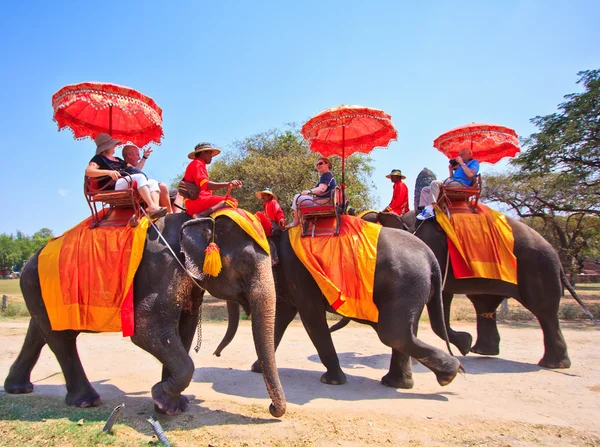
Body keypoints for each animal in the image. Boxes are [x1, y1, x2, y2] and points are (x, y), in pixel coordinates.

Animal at [4, 214, 286, 420]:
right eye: (244, 264)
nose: (273, 410)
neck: (200, 216)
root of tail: (29, 260)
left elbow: (184, 329)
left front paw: (170, 406)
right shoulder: (163, 265)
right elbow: (146, 326)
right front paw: (160, 397)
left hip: (37, 291)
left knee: (38, 331)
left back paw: (18, 388)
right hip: (40, 285)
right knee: (61, 340)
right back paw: (86, 401)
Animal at [217, 226, 464, 390]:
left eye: (241, 268)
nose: (217, 354)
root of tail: (430, 256)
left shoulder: (300, 275)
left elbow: (311, 318)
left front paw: (332, 380)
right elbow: (281, 318)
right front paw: (256, 369)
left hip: (406, 283)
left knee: (392, 332)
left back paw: (450, 374)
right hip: (413, 287)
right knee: (403, 331)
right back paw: (401, 382)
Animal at [358, 210, 592, 372]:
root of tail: (556, 255)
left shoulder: (438, 253)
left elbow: (439, 302)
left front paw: (462, 344)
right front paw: (463, 344)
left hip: (538, 266)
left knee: (544, 309)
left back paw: (552, 364)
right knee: (485, 304)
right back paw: (481, 350)